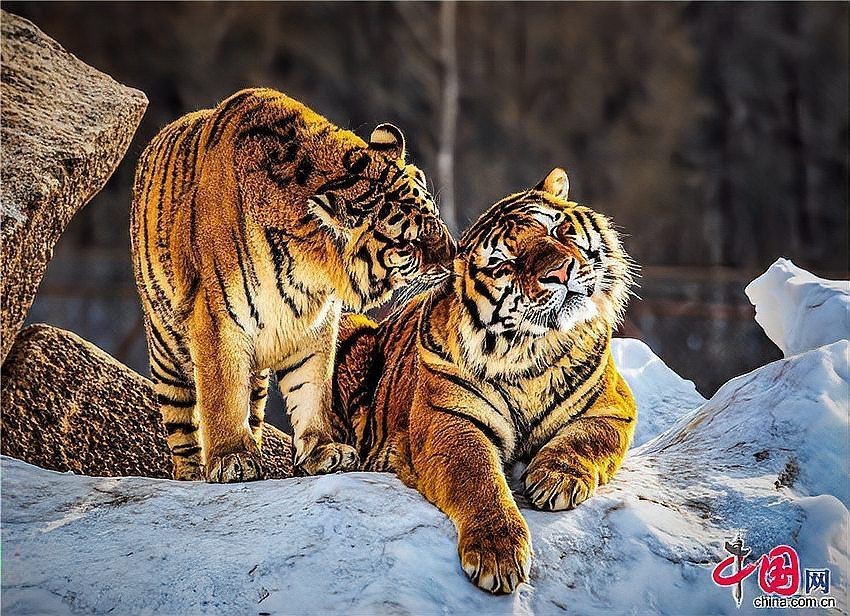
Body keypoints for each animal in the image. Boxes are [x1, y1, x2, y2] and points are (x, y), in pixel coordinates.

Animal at [130, 88, 454, 483]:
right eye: (409, 244)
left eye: (436, 219)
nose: (455, 256)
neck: (310, 266)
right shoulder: (217, 320)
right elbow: (222, 394)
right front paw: (232, 457)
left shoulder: (315, 325)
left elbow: (312, 389)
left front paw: (324, 451)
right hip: (168, 345)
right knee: (181, 416)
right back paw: (193, 473)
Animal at [332, 167, 637, 593]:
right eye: (504, 265)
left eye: (557, 230)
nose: (560, 272)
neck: (532, 351)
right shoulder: (449, 421)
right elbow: (478, 478)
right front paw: (498, 552)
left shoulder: (613, 405)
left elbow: (588, 438)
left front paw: (556, 479)